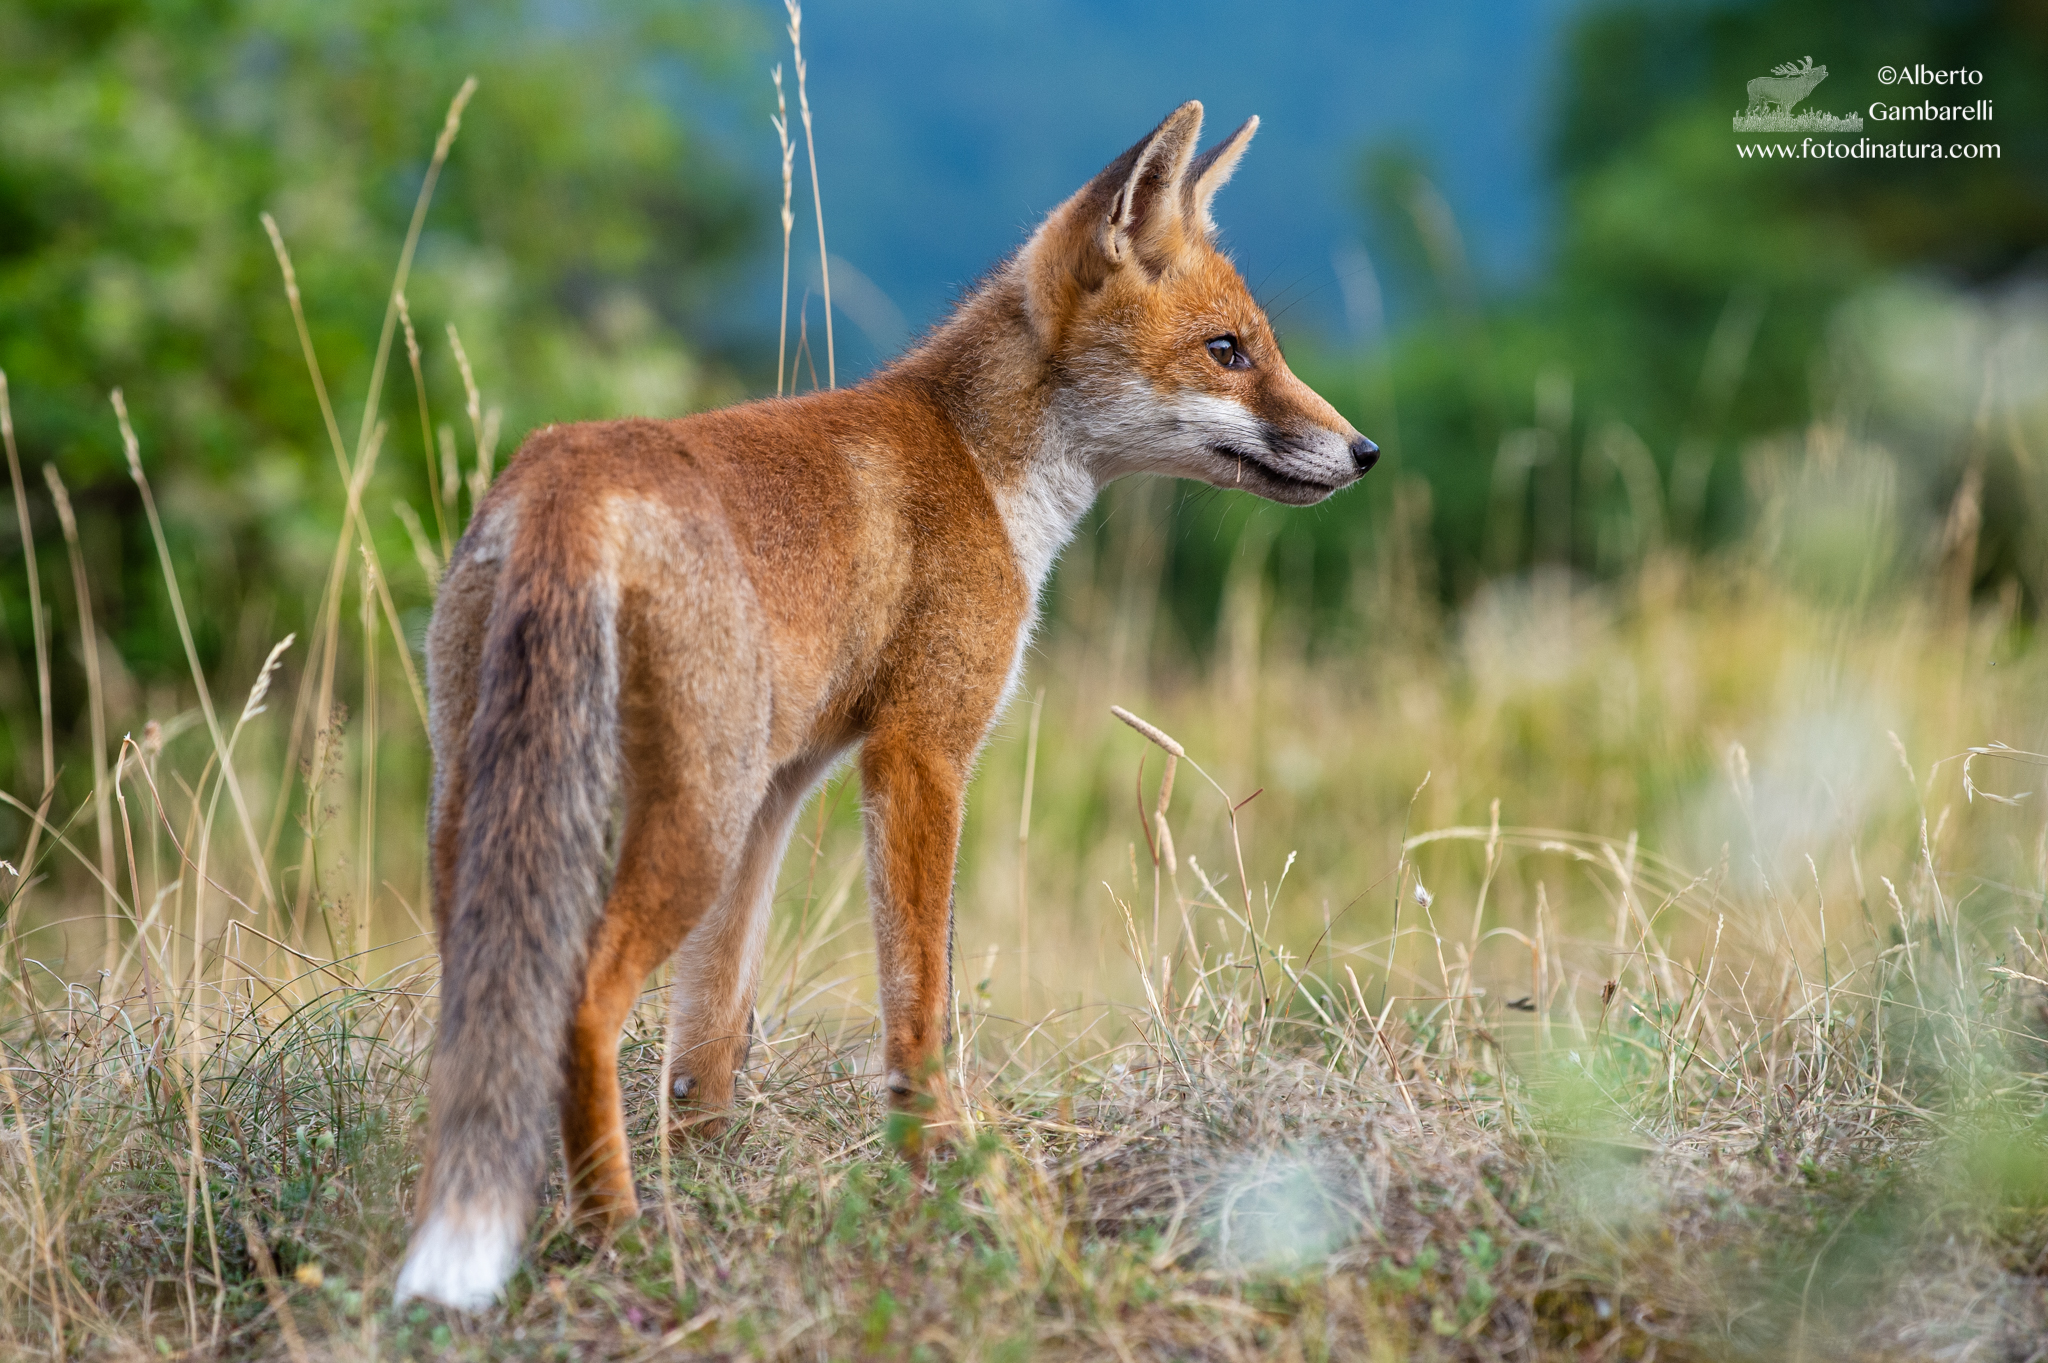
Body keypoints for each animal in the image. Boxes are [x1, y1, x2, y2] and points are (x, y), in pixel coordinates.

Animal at [393, 99, 1378, 1309]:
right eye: (1226, 351)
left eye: (1261, 345)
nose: (1364, 450)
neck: (982, 469)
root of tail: (563, 473)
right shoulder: (920, 752)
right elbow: (919, 1009)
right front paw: (936, 1168)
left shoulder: (783, 791)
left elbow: (708, 1038)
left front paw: (721, 1179)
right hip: (688, 822)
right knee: (580, 1001)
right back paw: (616, 1234)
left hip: (501, 816)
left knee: (481, 1017)